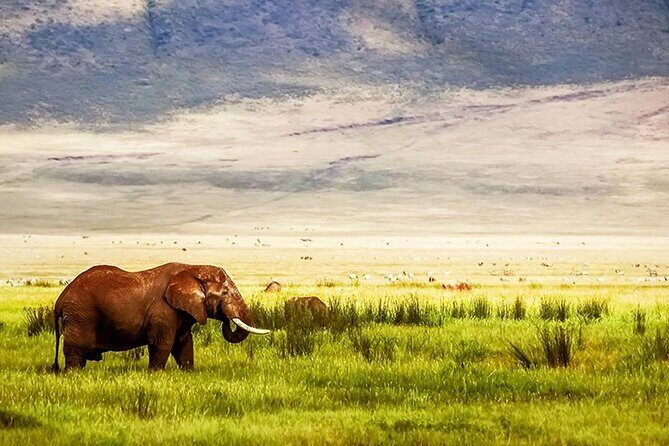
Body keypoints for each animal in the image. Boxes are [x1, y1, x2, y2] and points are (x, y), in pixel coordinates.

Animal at [51, 263, 269, 372]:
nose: (226, 318)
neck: (192, 268)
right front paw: (155, 374)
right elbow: (161, 343)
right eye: (224, 293)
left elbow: (184, 343)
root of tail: (60, 300)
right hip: (81, 315)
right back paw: (74, 374)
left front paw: (187, 373)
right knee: (75, 350)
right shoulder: (163, 310)